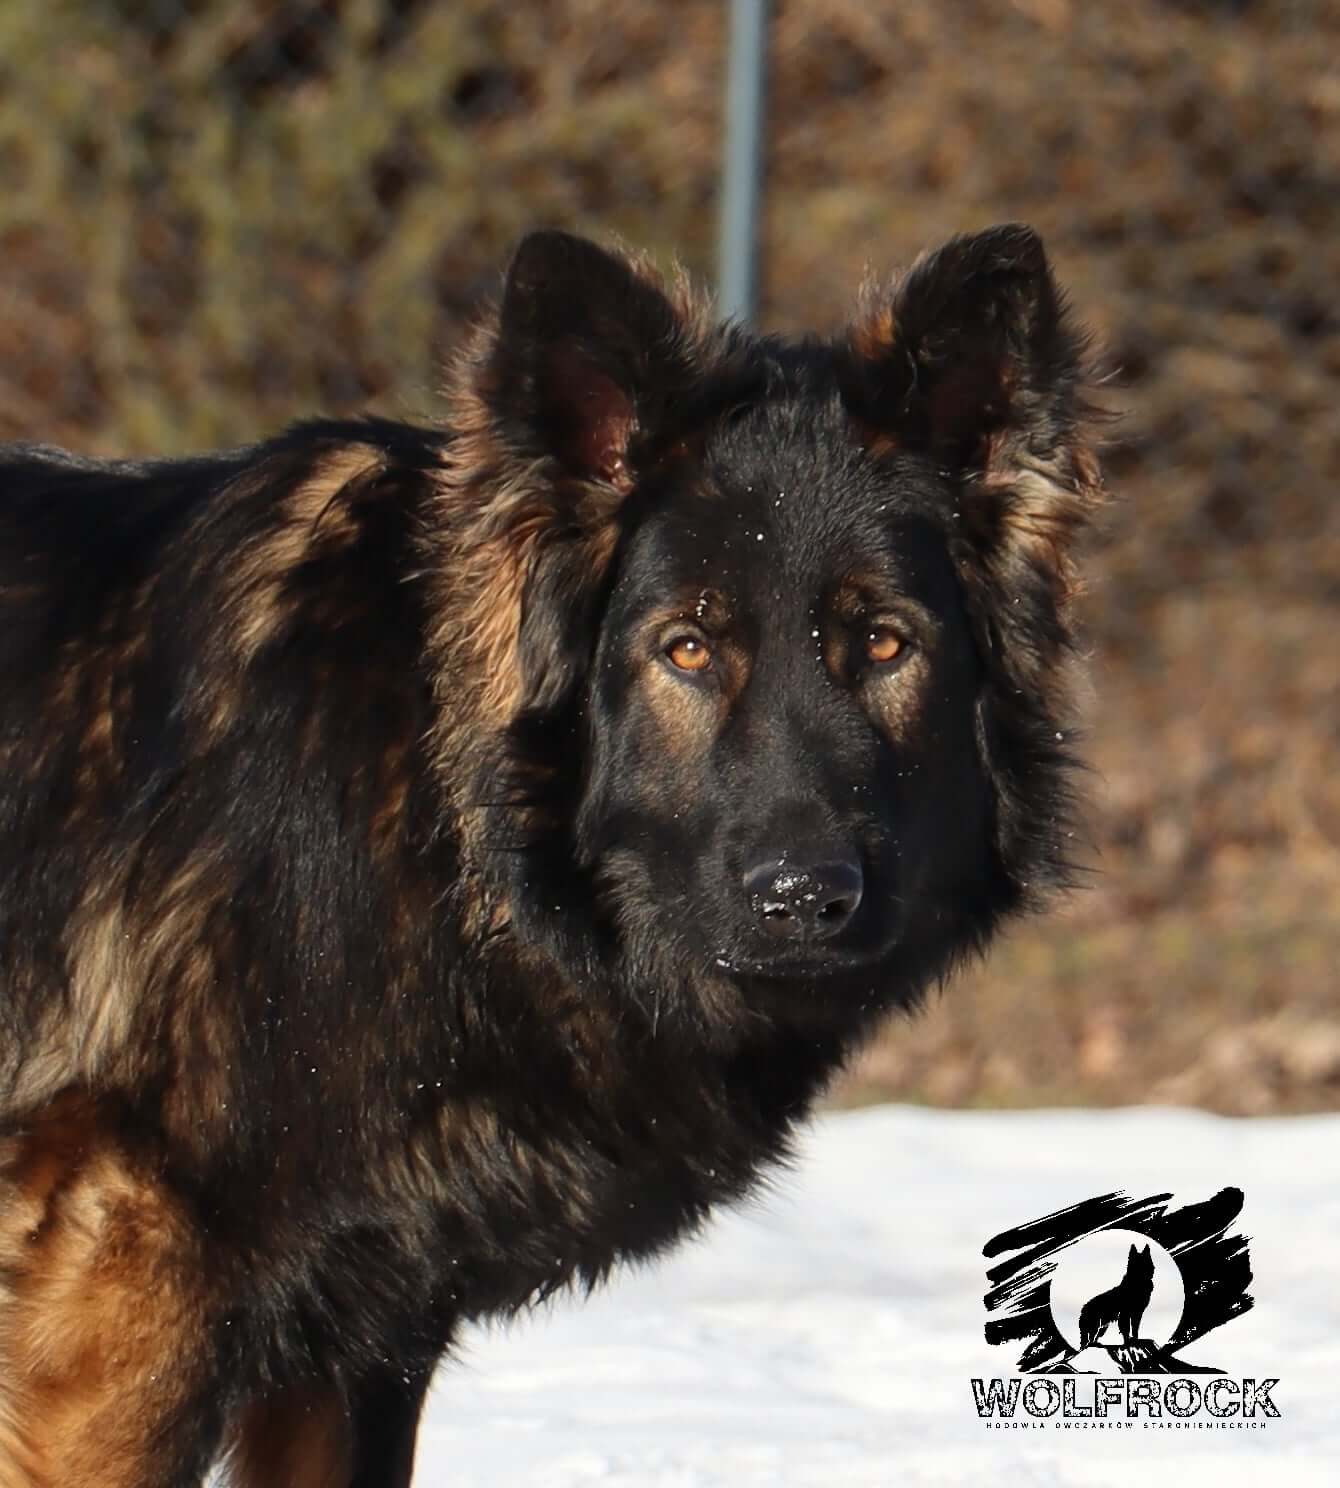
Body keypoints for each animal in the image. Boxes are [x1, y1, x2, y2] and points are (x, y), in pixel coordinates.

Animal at [0, 223, 1101, 1484]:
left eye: (881, 644)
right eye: (684, 648)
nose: (801, 899)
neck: (444, 826)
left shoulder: (365, 1334)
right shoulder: (132, 1290)